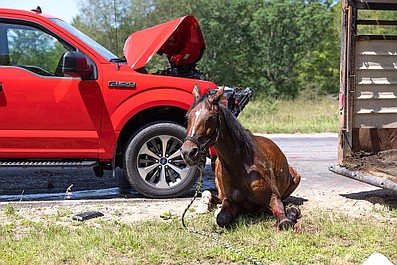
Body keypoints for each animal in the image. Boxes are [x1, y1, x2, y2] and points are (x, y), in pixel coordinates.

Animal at [180, 85, 300, 229]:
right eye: (187, 117)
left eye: (210, 118)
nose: (188, 152)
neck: (239, 165)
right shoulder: (230, 202)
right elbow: (221, 218)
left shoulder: (273, 198)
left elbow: (283, 218)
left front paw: (291, 213)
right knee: (209, 194)